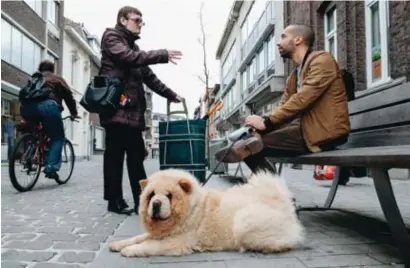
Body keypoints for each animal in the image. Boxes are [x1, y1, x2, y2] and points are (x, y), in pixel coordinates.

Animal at [109, 169, 304, 256]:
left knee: (284, 242)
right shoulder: (159, 234)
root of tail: (281, 201)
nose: (156, 203)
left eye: (169, 196)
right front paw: (118, 244)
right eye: (151, 195)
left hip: (244, 221)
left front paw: (129, 250)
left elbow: (149, 246)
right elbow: (138, 237)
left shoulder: (176, 242)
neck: (192, 209)